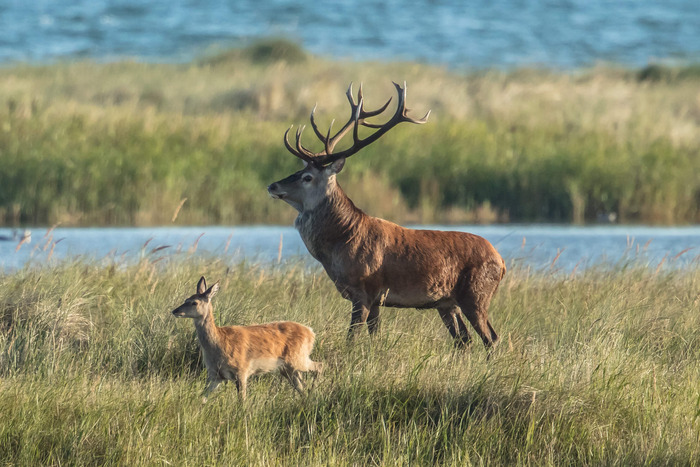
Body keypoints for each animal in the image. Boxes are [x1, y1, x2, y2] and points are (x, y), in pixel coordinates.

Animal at [171, 278, 322, 402]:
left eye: (194, 302)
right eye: (186, 299)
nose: (175, 311)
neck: (219, 343)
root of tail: (311, 332)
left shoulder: (242, 370)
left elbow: (242, 401)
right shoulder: (215, 375)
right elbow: (202, 398)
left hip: (298, 359)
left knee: (320, 365)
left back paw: (314, 391)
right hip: (288, 368)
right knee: (301, 385)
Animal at [266, 82, 504, 350]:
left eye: (307, 177)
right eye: (298, 170)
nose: (273, 186)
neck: (339, 244)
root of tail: (501, 261)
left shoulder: (364, 290)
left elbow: (352, 337)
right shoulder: (377, 299)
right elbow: (374, 333)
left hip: (476, 294)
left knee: (491, 338)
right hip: (447, 303)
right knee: (464, 340)